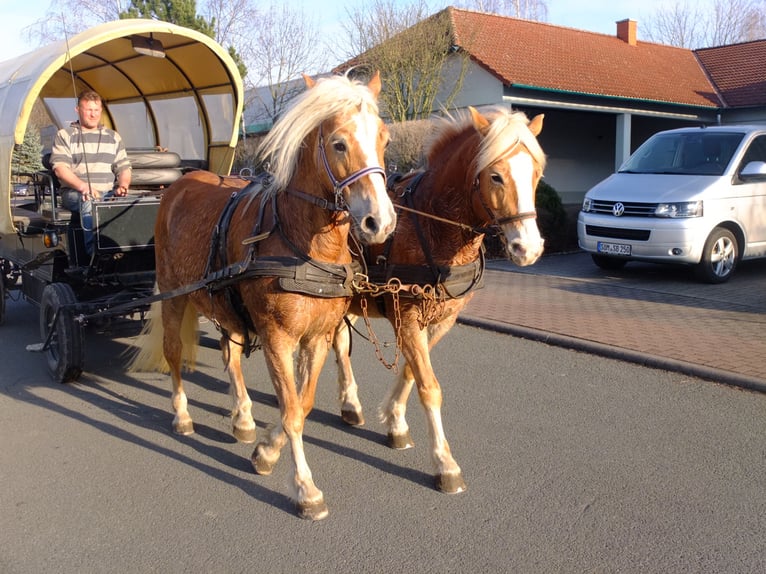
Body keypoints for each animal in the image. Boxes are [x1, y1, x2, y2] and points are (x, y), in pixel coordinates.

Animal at [128, 73, 396, 520]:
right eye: (339, 143)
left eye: (384, 138)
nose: (381, 221)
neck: (304, 245)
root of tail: (180, 181)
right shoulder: (277, 338)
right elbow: (291, 411)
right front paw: (305, 487)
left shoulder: (316, 338)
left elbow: (302, 403)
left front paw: (266, 450)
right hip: (173, 294)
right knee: (173, 352)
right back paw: (182, 414)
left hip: (224, 304)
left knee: (230, 354)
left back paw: (242, 417)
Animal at [330, 107, 544, 496]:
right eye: (495, 176)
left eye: (536, 174)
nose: (528, 248)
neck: (433, 224)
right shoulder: (406, 314)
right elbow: (429, 387)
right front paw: (444, 463)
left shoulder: (441, 319)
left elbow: (412, 372)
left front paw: (395, 422)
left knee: (339, 343)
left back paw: (350, 404)